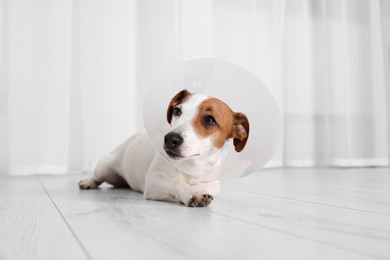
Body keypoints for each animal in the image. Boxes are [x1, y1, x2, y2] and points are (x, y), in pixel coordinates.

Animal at [79, 89, 250, 207]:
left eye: (210, 120)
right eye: (177, 111)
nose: (170, 139)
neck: (191, 166)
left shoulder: (214, 181)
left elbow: (209, 185)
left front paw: (198, 188)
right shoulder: (154, 181)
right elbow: (177, 183)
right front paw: (192, 193)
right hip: (105, 167)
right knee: (97, 176)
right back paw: (88, 182)